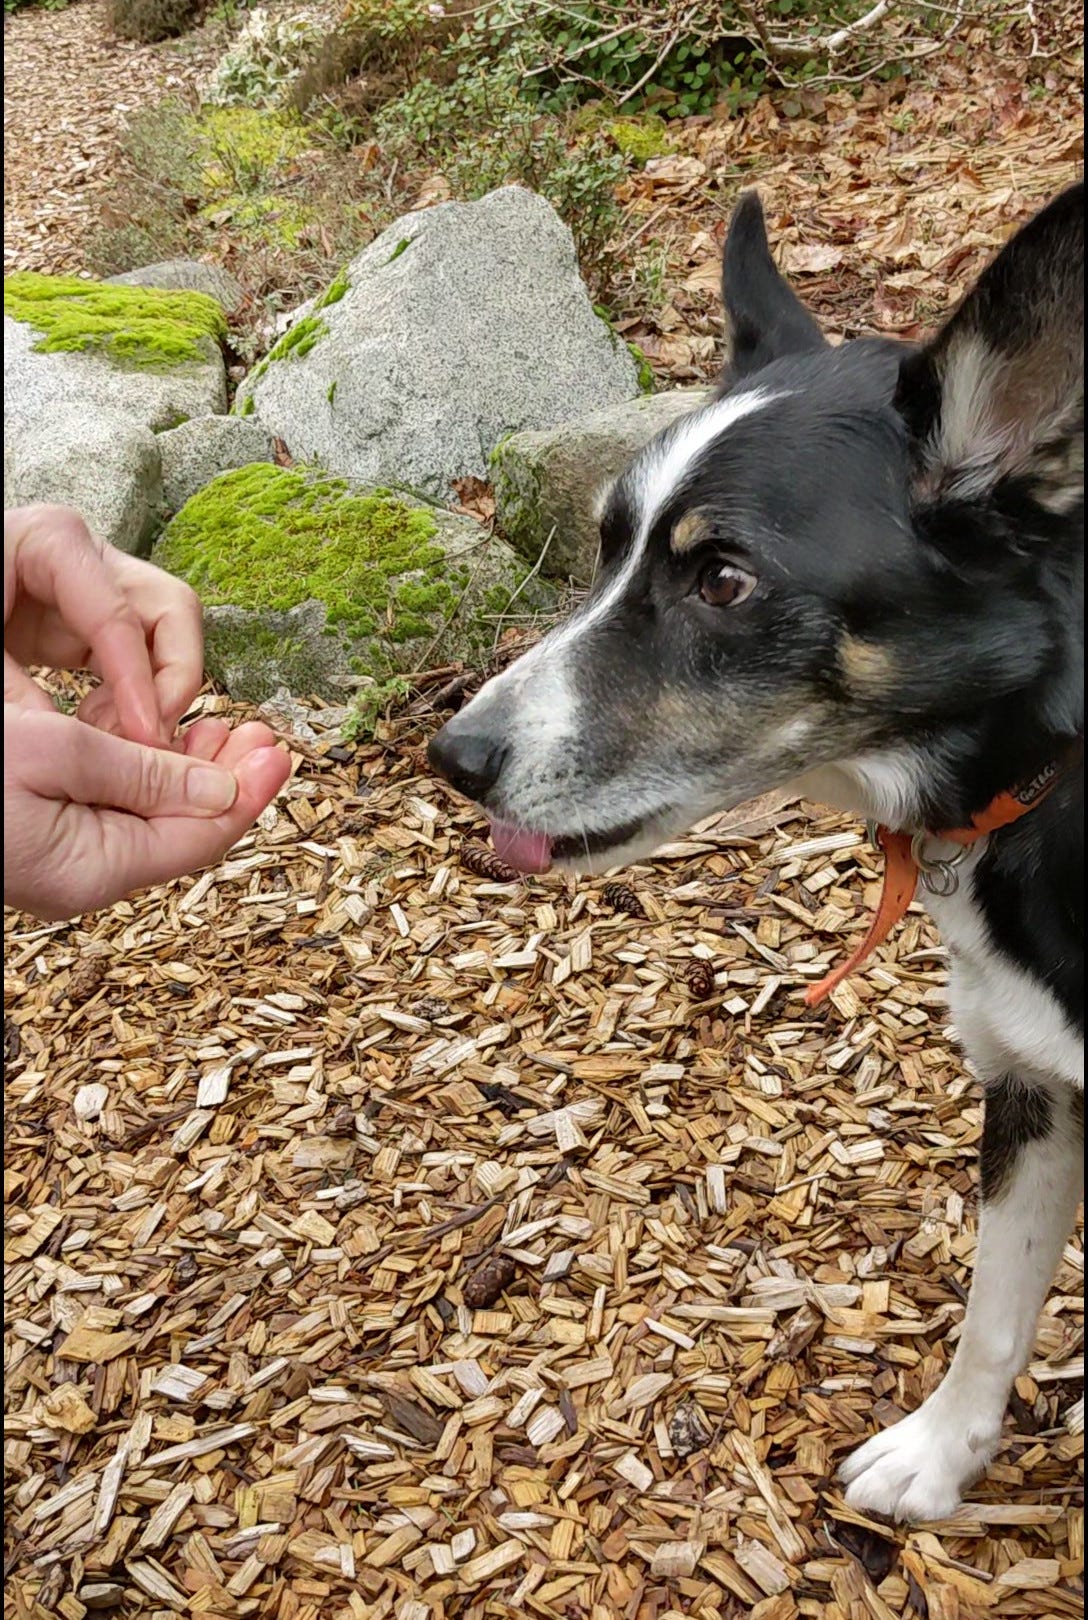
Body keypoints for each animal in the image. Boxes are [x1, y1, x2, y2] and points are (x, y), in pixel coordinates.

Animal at [430, 183, 1081, 1522]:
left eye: (722, 578)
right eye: (606, 545)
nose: (452, 756)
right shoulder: (1031, 1087)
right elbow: (992, 1311)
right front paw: (939, 1459)